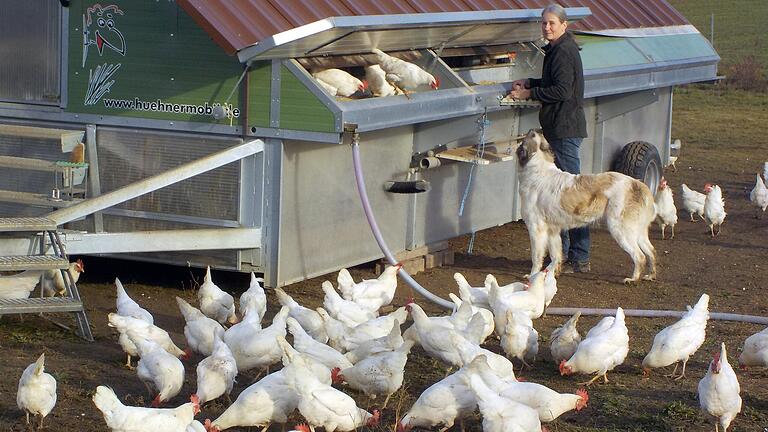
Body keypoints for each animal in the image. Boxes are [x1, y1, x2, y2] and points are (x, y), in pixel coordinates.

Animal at [512, 129, 656, 284]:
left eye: (530, 136)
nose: (534, 129)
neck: (538, 168)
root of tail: (636, 183)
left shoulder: (536, 228)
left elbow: (536, 257)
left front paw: (532, 276)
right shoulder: (553, 230)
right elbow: (556, 255)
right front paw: (553, 273)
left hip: (620, 230)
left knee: (639, 256)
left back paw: (633, 279)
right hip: (637, 231)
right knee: (651, 251)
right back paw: (651, 275)